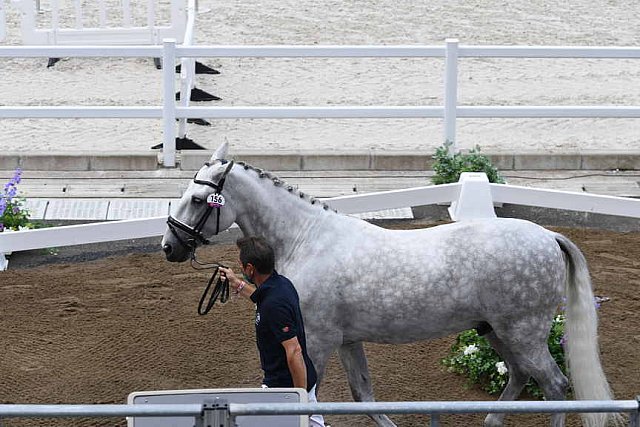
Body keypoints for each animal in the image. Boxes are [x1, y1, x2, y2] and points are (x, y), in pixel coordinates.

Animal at [162, 145, 624, 427]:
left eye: (199, 200)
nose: (170, 245)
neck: (308, 238)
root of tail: (548, 236)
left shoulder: (317, 341)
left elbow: (309, 392)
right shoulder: (347, 341)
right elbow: (363, 394)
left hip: (523, 332)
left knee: (554, 385)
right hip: (496, 331)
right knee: (520, 375)